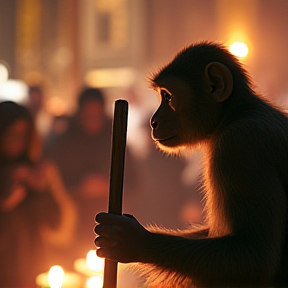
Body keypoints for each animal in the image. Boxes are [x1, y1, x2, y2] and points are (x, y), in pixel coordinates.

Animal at [94, 41, 288, 286]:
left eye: (167, 97)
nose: (153, 122)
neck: (234, 114)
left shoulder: (240, 145)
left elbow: (254, 257)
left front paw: (130, 241)